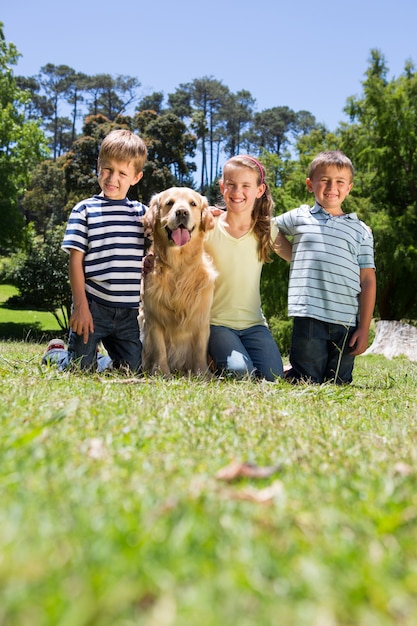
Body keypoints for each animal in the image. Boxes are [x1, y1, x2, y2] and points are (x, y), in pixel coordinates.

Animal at [141, 186, 218, 376]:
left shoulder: (201, 318)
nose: (182, 212)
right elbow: (160, 349)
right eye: (170, 203)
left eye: (193, 203)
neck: (178, 268)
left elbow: (199, 350)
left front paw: (202, 375)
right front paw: (162, 373)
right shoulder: (153, 318)